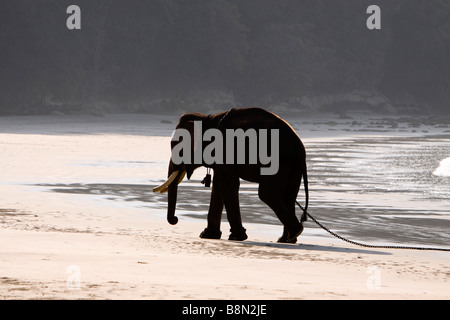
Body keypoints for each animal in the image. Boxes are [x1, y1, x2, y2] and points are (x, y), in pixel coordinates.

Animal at [153, 107, 308, 242]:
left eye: (178, 147)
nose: (175, 219)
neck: (207, 119)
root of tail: (299, 147)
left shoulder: (225, 150)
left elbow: (228, 183)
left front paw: (236, 237)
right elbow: (218, 184)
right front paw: (208, 235)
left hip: (279, 161)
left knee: (267, 194)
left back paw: (294, 233)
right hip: (292, 166)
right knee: (288, 195)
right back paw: (287, 239)